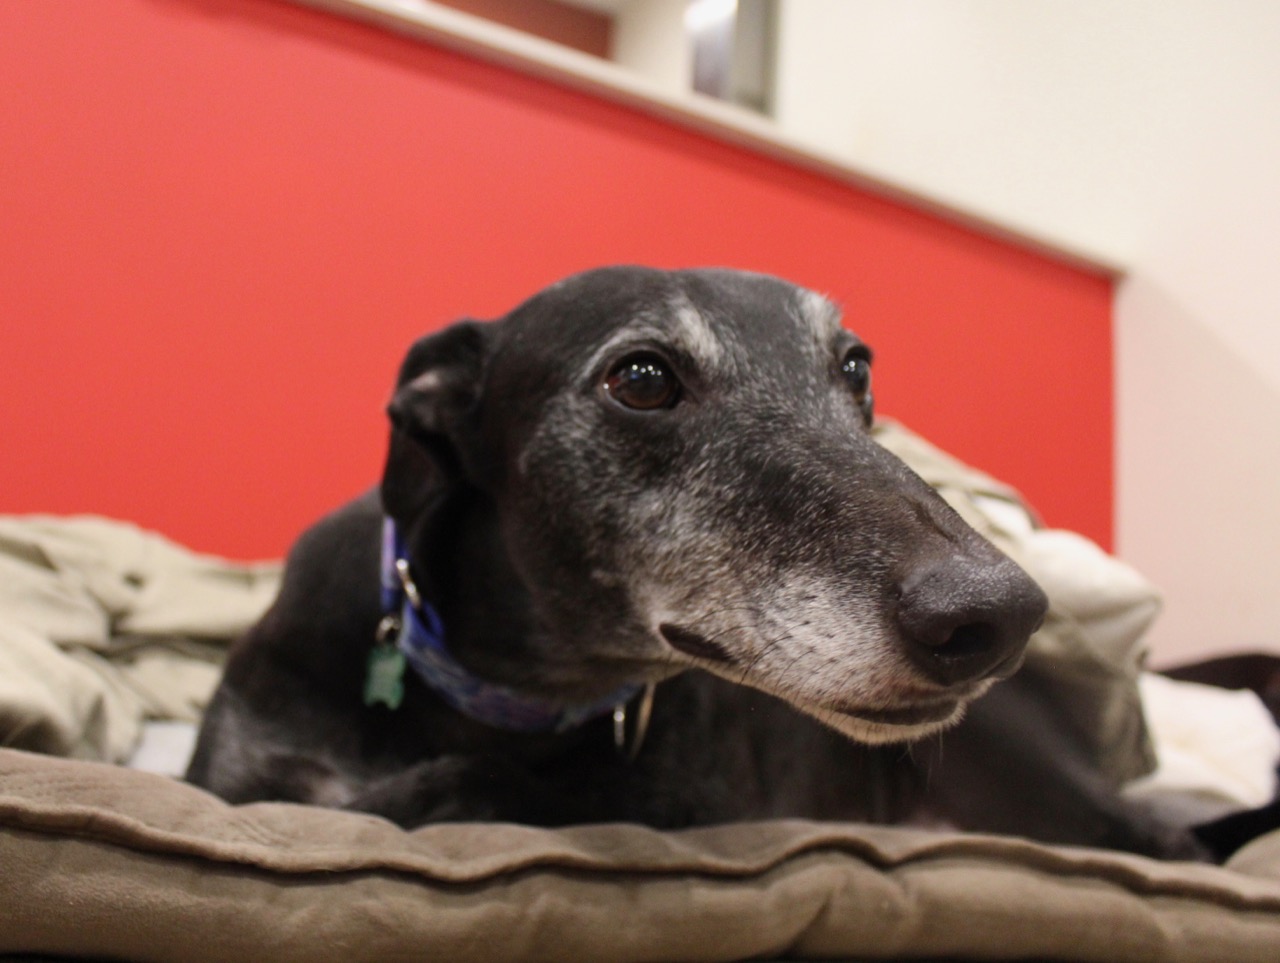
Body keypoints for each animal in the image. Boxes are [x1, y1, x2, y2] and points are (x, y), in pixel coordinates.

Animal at [187, 266, 1203, 858]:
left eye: (856, 368)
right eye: (641, 377)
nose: (1000, 616)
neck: (499, 692)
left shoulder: (690, 803)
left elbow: (455, 794)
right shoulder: (232, 776)